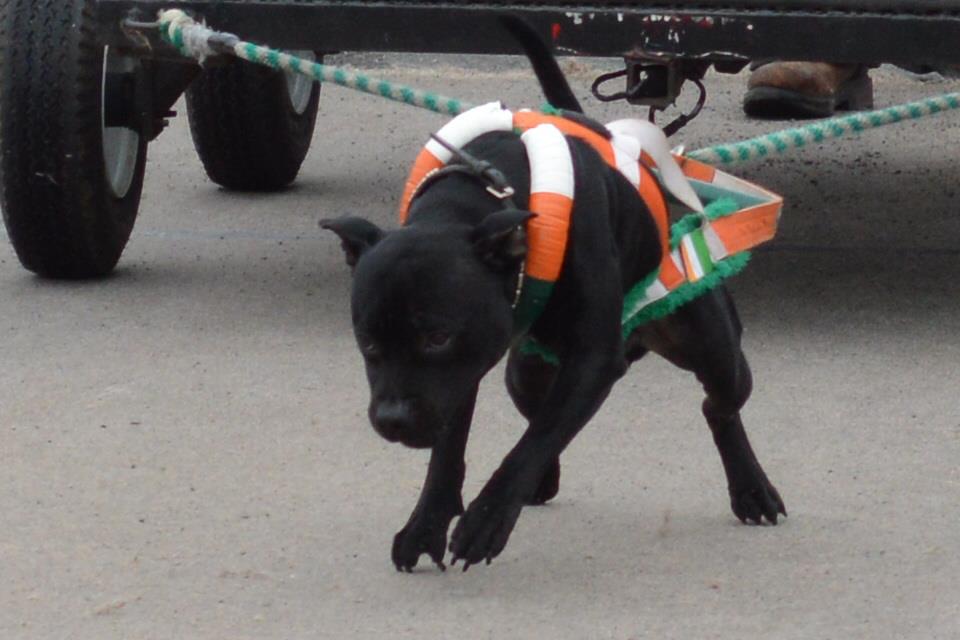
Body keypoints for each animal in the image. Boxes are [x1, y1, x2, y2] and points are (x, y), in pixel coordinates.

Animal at [322, 20, 780, 572]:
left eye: (436, 337)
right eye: (367, 343)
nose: (392, 419)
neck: (484, 191)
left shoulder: (590, 361)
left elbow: (535, 439)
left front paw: (486, 520)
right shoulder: (464, 371)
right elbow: (453, 450)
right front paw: (426, 524)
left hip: (712, 349)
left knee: (720, 405)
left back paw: (752, 489)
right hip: (525, 373)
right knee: (541, 412)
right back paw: (542, 481)